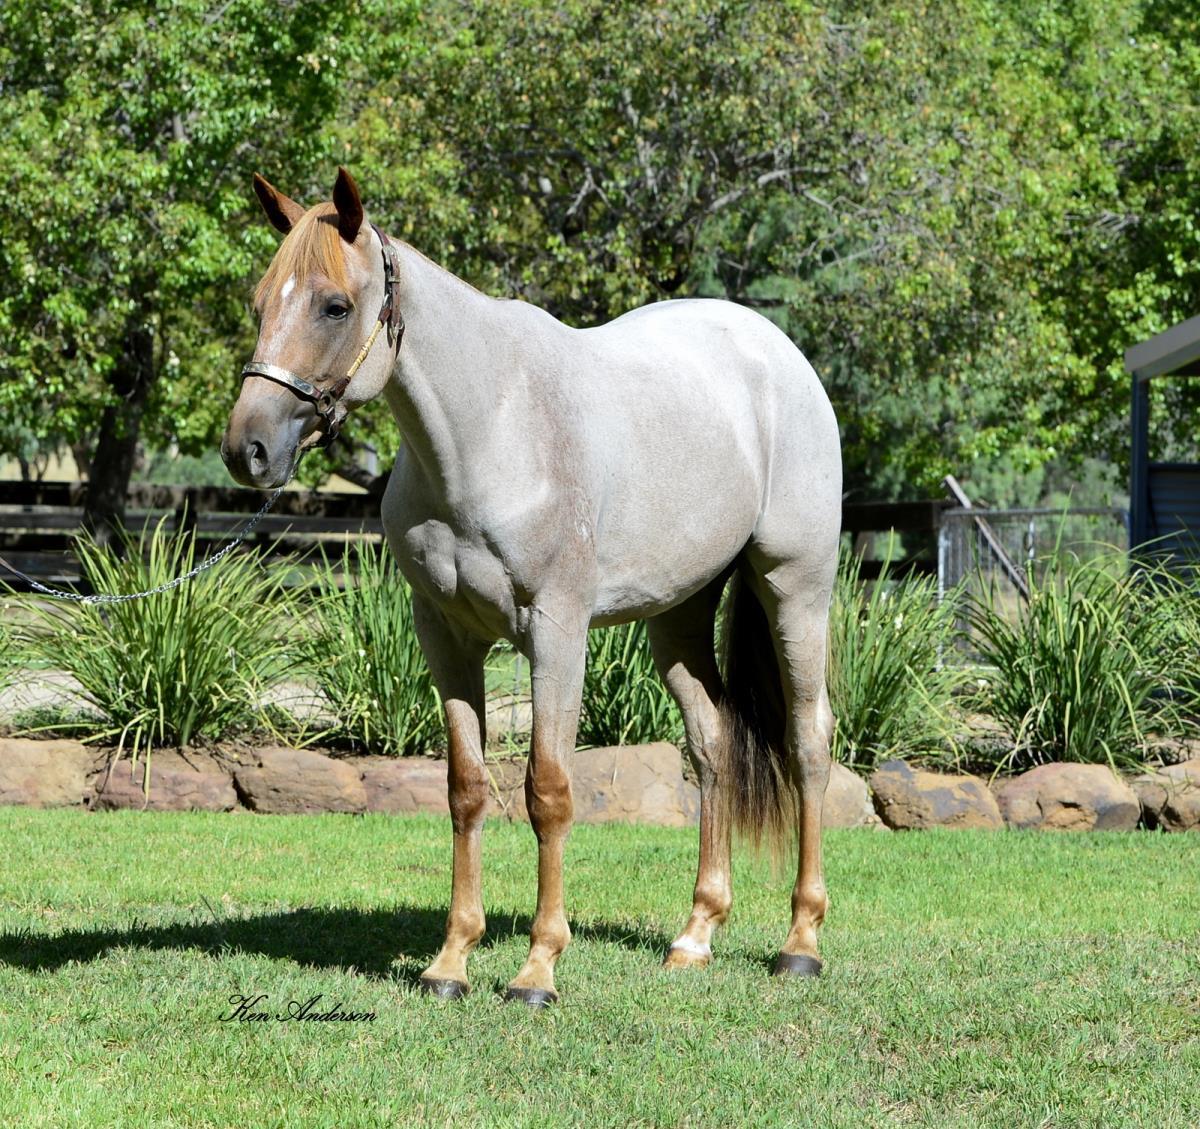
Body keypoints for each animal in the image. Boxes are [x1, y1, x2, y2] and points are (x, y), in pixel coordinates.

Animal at [222, 168, 842, 1007]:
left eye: (334, 305)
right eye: (261, 302)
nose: (248, 448)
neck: (493, 429)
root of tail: (775, 352)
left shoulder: (557, 632)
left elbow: (548, 791)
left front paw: (537, 968)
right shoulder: (445, 634)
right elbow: (467, 787)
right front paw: (451, 960)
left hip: (795, 588)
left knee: (809, 739)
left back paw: (800, 941)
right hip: (678, 613)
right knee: (712, 741)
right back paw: (695, 934)